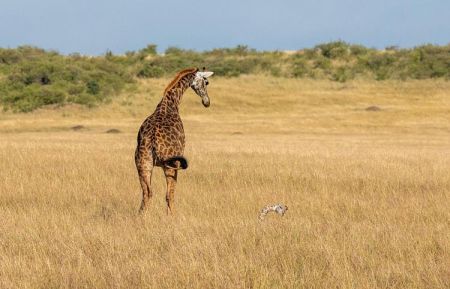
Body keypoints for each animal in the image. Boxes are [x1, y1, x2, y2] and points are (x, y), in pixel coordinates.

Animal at [134, 66, 214, 213]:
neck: (171, 102)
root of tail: (152, 141)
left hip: (143, 164)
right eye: (206, 82)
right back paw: (173, 216)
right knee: (169, 194)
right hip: (172, 165)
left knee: (147, 192)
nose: (207, 102)